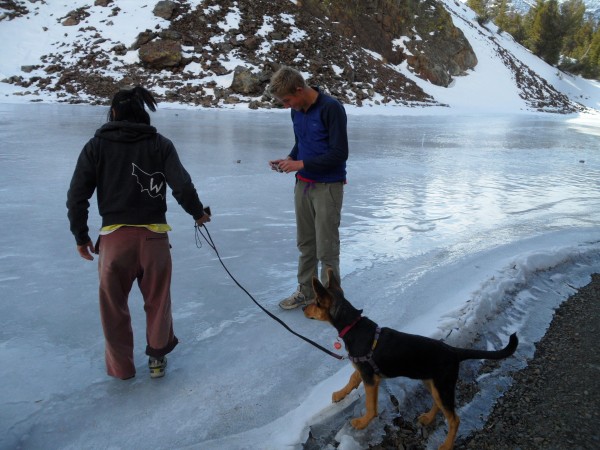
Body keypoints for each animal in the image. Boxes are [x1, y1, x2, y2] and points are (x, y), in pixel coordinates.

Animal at [302, 268, 516, 448]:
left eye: (315, 301)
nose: (304, 309)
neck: (352, 325)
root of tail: (453, 351)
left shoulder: (371, 378)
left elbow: (371, 407)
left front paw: (362, 423)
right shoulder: (364, 368)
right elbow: (353, 378)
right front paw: (340, 394)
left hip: (443, 384)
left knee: (454, 419)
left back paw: (446, 445)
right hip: (433, 383)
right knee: (439, 405)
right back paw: (428, 418)